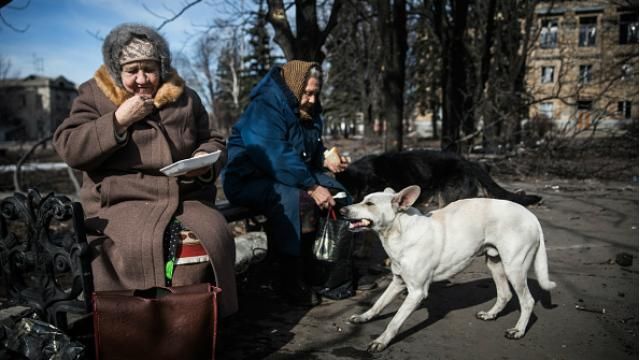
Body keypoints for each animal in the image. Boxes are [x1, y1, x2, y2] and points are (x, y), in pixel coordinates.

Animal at [340, 186, 556, 352]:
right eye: (363, 200)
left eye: (369, 204)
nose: (341, 210)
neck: (401, 232)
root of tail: (531, 215)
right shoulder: (397, 282)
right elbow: (378, 304)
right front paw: (364, 317)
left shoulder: (416, 292)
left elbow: (394, 321)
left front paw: (381, 341)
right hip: (495, 264)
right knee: (505, 294)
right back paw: (491, 314)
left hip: (514, 268)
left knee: (527, 301)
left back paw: (518, 331)